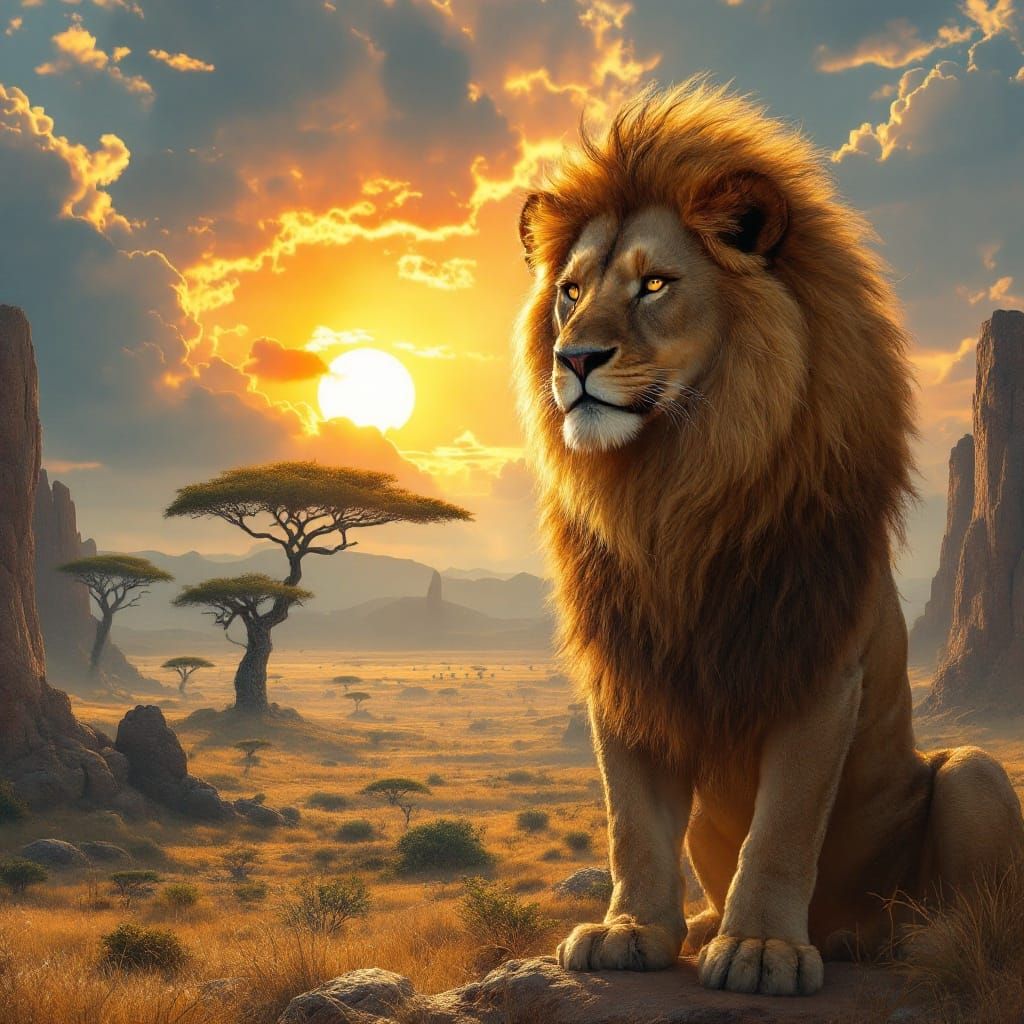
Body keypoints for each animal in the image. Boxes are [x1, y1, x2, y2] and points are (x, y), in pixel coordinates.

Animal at [513, 80, 1024, 997]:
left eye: (654, 285)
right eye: (569, 291)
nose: (573, 359)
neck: (673, 489)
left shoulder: (818, 662)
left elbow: (782, 826)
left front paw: (760, 948)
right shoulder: (627, 669)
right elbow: (632, 822)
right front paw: (631, 931)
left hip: (974, 770)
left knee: (976, 904)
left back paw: (908, 939)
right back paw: (712, 926)